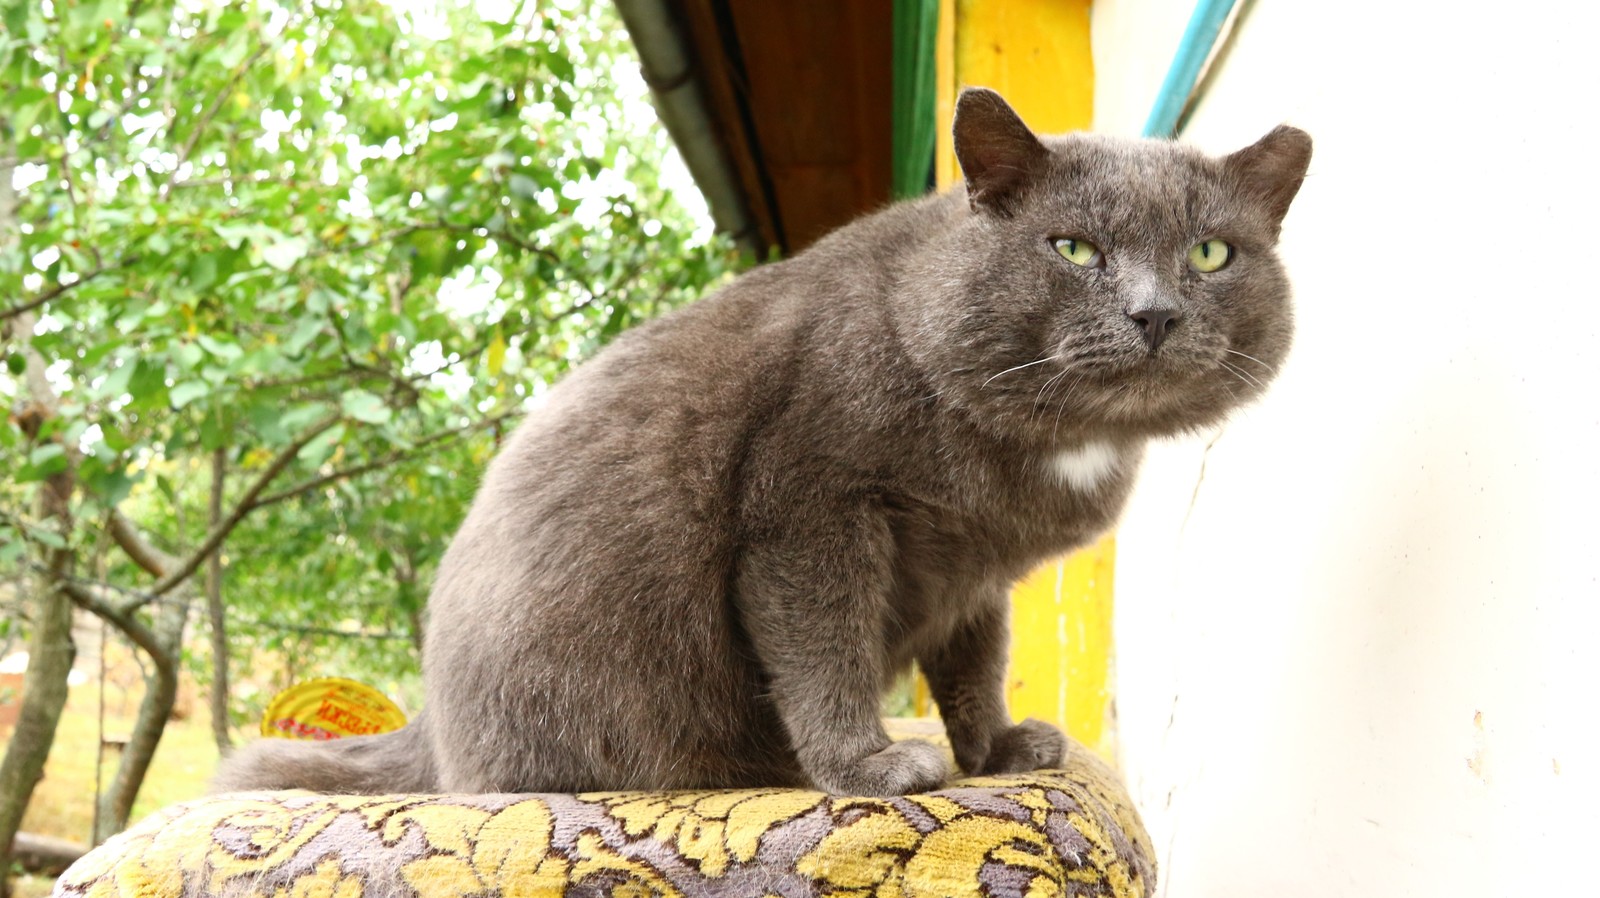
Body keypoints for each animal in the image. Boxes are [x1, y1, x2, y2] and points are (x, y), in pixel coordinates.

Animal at [216, 87, 1312, 793]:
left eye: (1210, 252)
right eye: (1074, 247)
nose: (1154, 312)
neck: (1052, 442)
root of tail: (430, 730)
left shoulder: (972, 572)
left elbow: (974, 664)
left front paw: (994, 747)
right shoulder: (806, 508)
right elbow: (823, 644)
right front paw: (870, 766)